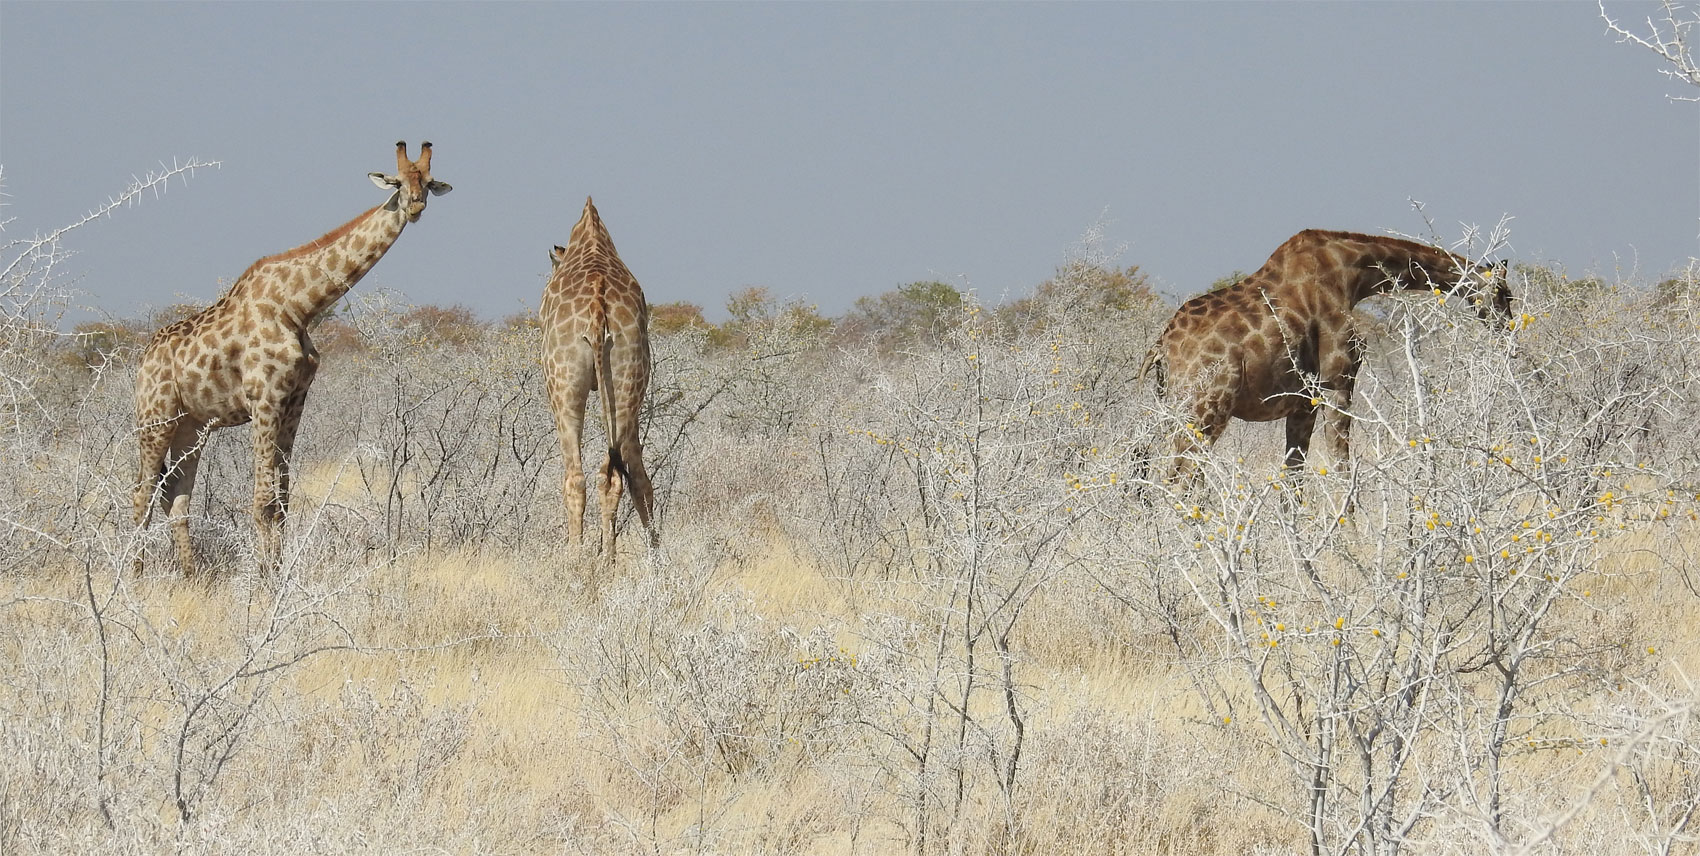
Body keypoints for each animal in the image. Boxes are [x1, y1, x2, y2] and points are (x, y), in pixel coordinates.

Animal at [134, 141, 452, 574]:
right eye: (399, 182)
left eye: (429, 181)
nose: (416, 205)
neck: (299, 308)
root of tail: (143, 360)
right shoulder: (264, 399)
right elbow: (261, 501)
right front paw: (265, 578)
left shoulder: (295, 401)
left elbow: (281, 501)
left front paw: (280, 571)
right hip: (155, 419)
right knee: (142, 495)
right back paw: (132, 576)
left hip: (191, 428)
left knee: (176, 499)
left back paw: (192, 575)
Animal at [540, 194, 659, 557]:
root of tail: (597, 308)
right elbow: (636, 479)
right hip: (627, 382)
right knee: (620, 476)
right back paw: (617, 558)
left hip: (561, 389)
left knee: (575, 476)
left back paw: (576, 558)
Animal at [1142, 227, 1516, 482]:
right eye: (1504, 293)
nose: (1509, 328)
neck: (1354, 276)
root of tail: (1161, 347)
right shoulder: (1337, 384)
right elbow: (1341, 468)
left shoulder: (1302, 403)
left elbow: (1294, 479)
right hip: (1206, 409)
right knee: (1179, 477)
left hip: (1174, 407)